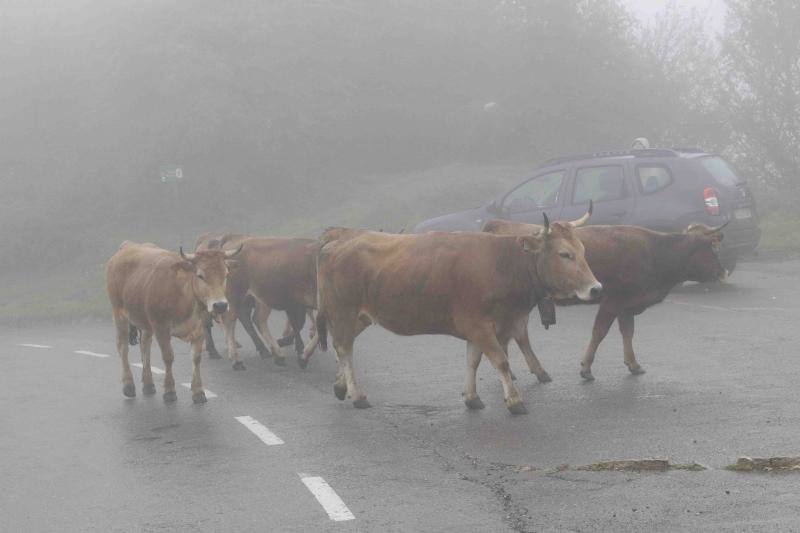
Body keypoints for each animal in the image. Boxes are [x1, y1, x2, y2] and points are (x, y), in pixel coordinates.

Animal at [104, 239, 239, 402]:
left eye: (226, 274)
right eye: (200, 275)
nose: (220, 305)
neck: (184, 296)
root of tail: (128, 246)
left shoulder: (199, 329)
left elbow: (196, 358)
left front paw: (198, 392)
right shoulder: (161, 328)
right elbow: (168, 357)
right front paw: (169, 391)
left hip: (146, 323)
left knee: (145, 346)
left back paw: (148, 384)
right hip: (119, 314)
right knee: (123, 348)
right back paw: (128, 385)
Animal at [316, 214, 604, 414]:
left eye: (583, 251)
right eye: (564, 254)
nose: (597, 289)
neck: (502, 263)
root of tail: (336, 243)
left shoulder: (479, 328)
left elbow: (473, 361)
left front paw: (472, 397)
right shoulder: (478, 325)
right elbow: (500, 361)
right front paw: (514, 401)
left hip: (360, 316)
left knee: (344, 347)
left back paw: (340, 386)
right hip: (343, 311)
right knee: (344, 348)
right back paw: (357, 395)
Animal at [484, 218, 728, 380]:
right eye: (710, 247)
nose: (723, 271)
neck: (655, 251)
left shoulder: (627, 305)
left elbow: (628, 332)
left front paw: (633, 363)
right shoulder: (613, 301)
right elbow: (599, 332)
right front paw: (586, 367)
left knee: (515, 335)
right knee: (515, 335)